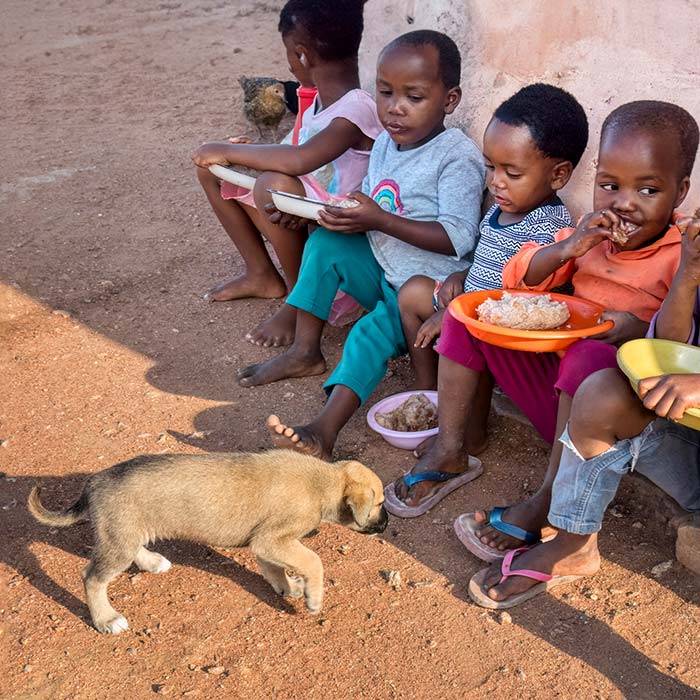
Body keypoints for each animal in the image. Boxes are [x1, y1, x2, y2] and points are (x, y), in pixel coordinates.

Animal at [28, 448, 388, 636]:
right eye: (380, 503)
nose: (387, 524)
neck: (324, 481)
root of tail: (94, 482)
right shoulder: (273, 537)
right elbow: (313, 561)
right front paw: (313, 598)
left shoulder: (265, 541)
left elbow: (273, 567)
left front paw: (287, 586)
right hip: (117, 544)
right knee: (91, 578)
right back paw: (106, 619)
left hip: (126, 534)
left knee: (132, 552)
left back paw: (153, 561)